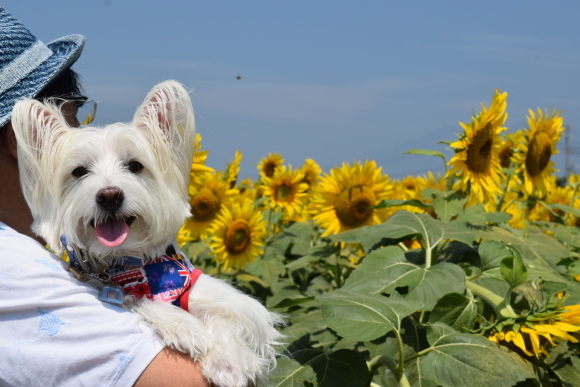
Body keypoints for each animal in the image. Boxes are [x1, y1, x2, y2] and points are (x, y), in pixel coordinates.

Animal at [12, 80, 284, 386]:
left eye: (135, 165)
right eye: (79, 171)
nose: (109, 195)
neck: (133, 262)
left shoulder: (233, 303)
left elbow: (231, 319)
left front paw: (228, 362)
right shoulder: (109, 287)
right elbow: (135, 298)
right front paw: (186, 326)